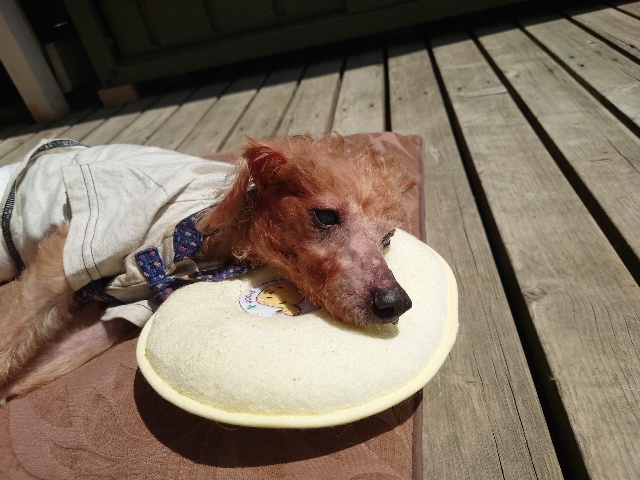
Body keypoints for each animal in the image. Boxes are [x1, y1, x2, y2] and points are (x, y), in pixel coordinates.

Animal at [0, 133, 415, 400]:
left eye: (387, 237)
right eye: (325, 216)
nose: (395, 304)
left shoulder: (131, 308)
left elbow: (69, 347)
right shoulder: (66, 253)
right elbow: (14, 332)